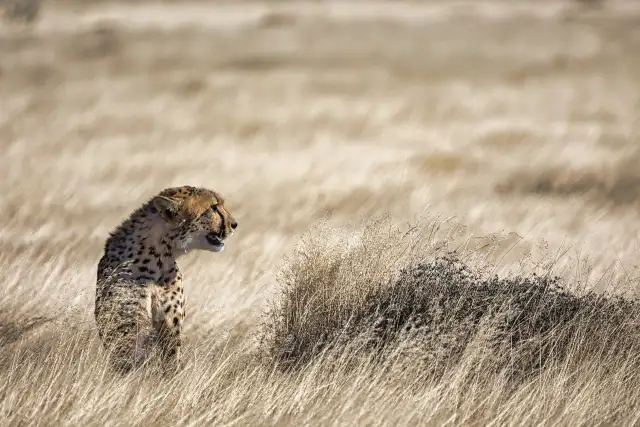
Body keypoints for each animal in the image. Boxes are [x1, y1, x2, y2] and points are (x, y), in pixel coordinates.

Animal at [94, 185, 238, 373]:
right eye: (213, 207)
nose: (234, 224)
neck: (157, 256)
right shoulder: (127, 324)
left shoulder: (169, 324)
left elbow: (170, 361)